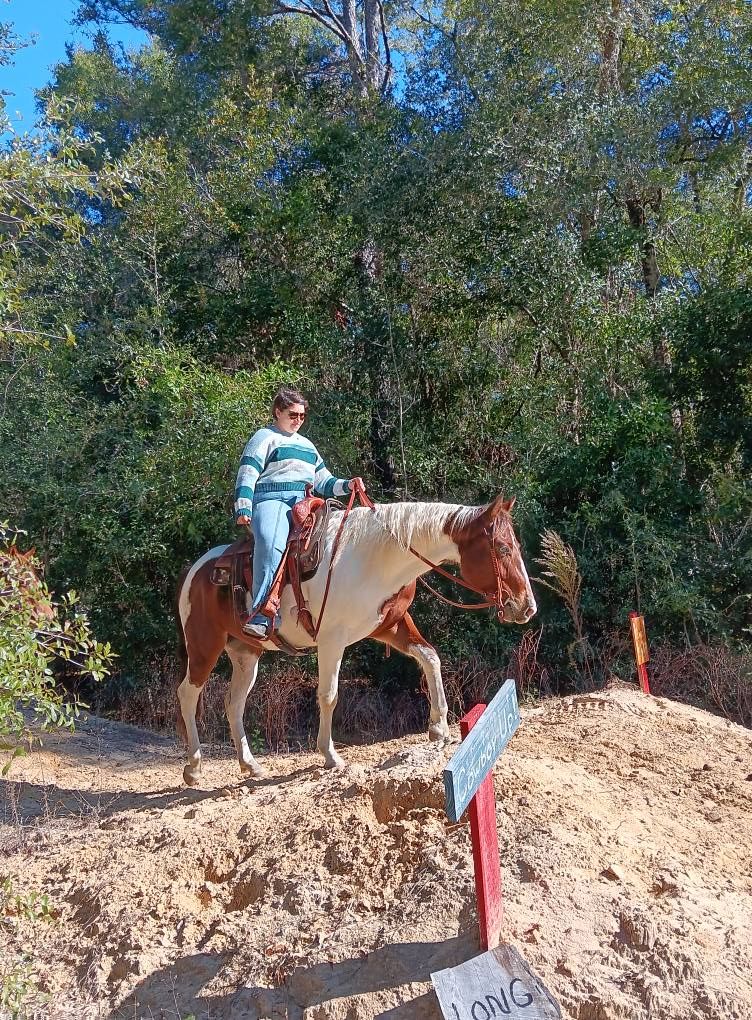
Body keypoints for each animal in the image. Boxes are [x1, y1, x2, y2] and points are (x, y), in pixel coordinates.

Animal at [174, 489, 538, 783]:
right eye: (502, 548)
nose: (527, 607)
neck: (375, 558)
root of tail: (197, 569)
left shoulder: (390, 626)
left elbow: (430, 657)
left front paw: (438, 727)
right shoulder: (332, 639)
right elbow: (329, 695)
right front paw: (330, 755)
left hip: (246, 654)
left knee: (233, 702)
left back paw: (249, 765)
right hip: (205, 644)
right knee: (188, 694)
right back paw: (194, 766)